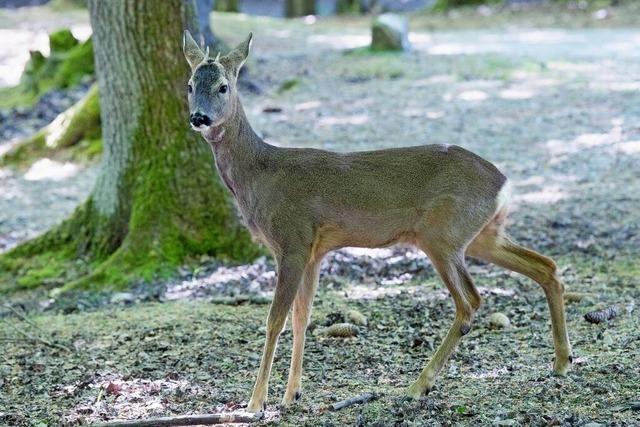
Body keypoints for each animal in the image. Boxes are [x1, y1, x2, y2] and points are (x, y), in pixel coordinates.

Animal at [182, 30, 572, 414]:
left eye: (223, 87)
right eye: (189, 84)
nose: (199, 118)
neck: (259, 175)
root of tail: (504, 183)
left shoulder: (292, 240)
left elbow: (275, 319)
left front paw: (255, 402)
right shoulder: (314, 250)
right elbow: (302, 317)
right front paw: (292, 394)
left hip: (442, 234)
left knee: (471, 301)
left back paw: (418, 386)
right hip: (481, 235)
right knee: (546, 266)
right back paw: (562, 361)